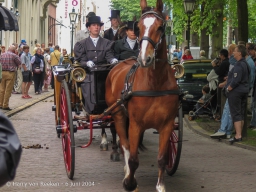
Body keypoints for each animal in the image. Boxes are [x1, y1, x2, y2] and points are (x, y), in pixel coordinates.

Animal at [105, 0, 179, 190]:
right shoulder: (135, 124)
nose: (145, 58)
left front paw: (160, 186)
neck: (155, 83)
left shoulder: (167, 124)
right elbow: (132, 159)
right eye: (138, 27)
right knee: (124, 145)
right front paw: (130, 182)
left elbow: (162, 158)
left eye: (160, 27)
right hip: (118, 114)